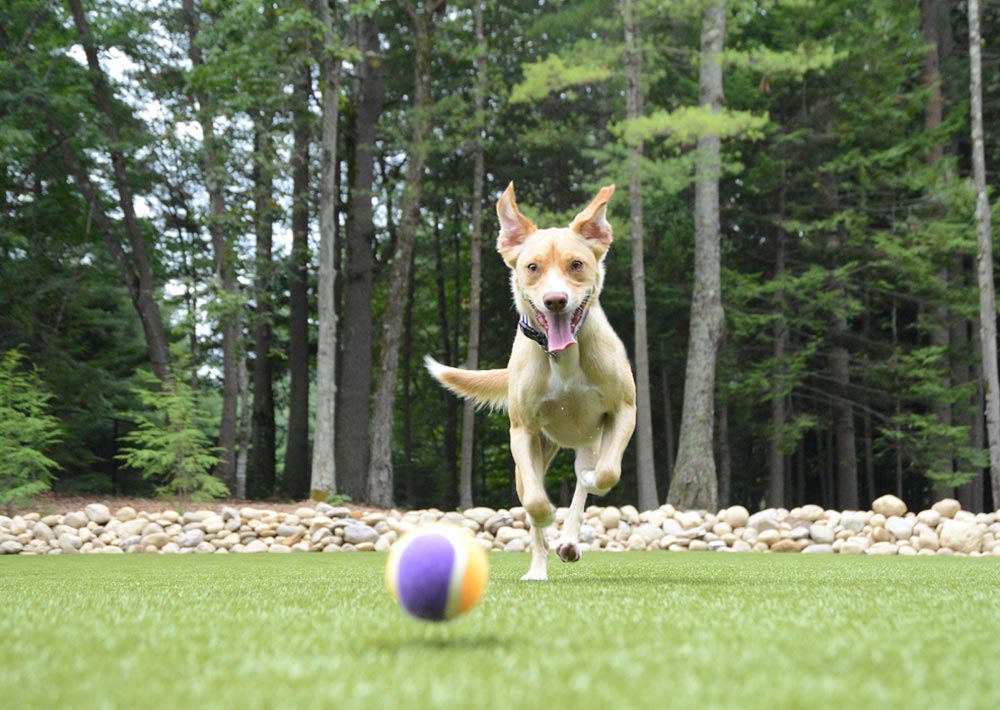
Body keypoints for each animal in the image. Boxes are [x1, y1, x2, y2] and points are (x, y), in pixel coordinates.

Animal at [426, 184, 636, 584]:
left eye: (576, 264)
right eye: (532, 267)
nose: (555, 300)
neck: (563, 359)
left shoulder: (623, 411)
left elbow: (606, 473)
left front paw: (590, 484)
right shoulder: (522, 430)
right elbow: (536, 501)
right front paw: (545, 518)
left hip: (590, 441)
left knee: (582, 483)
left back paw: (569, 539)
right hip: (535, 451)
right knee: (532, 497)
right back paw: (539, 567)